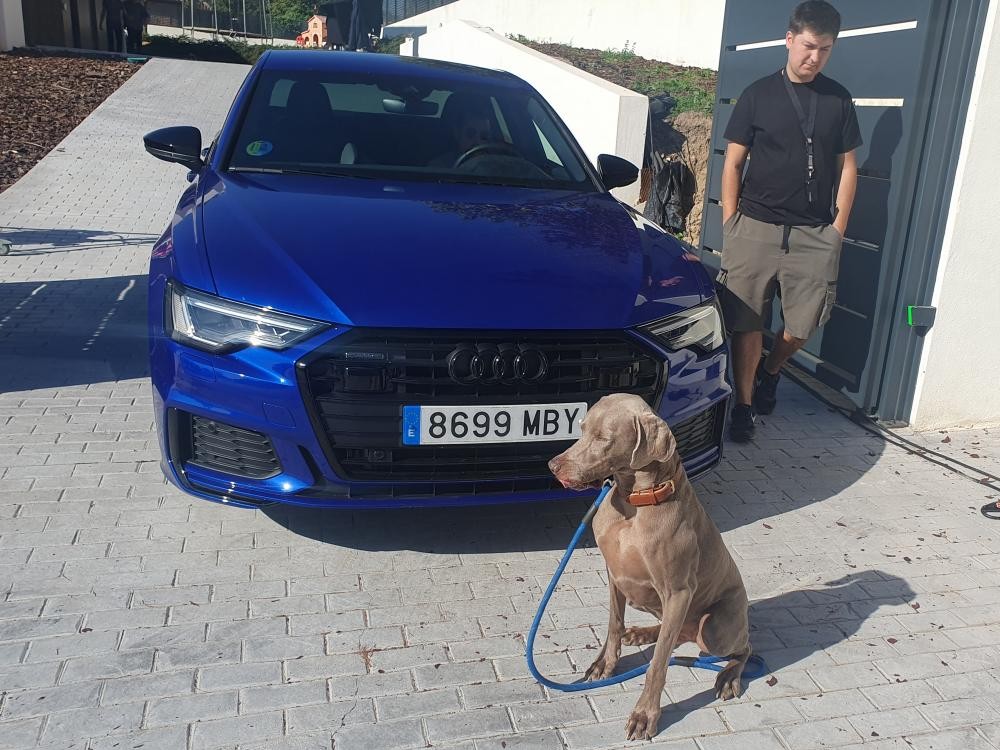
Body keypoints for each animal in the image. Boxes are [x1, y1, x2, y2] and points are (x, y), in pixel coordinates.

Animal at [549, 393, 751, 740]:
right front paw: (604, 665)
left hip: (715, 627)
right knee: (672, 632)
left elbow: (657, 665)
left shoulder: (679, 591)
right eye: (583, 428)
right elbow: (614, 625)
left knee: (743, 647)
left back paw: (728, 676)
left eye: (603, 438)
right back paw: (641, 633)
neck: (636, 501)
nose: (553, 466)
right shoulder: (613, 574)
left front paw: (645, 715)